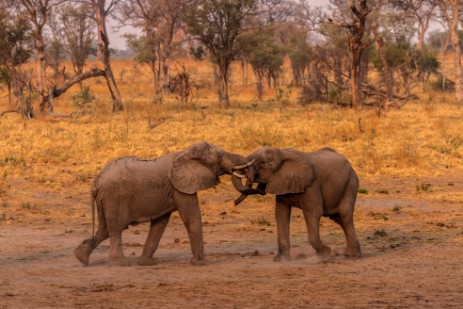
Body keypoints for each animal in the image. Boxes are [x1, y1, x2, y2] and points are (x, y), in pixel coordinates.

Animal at [75, 141, 254, 264]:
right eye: (219, 157)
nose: (235, 203)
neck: (185, 152)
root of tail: (95, 182)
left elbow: (160, 223)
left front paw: (146, 264)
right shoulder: (180, 188)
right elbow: (192, 217)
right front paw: (202, 263)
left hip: (106, 198)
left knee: (105, 228)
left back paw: (81, 257)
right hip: (115, 197)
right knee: (117, 227)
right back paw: (120, 263)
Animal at [232, 146, 362, 260]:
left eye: (263, 162)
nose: (234, 202)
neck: (281, 152)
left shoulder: (311, 185)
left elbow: (313, 212)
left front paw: (325, 255)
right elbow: (281, 214)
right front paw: (281, 260)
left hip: (351, 183)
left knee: (344, 214)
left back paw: (352, 256)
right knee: (337, 217)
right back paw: (351, 255)